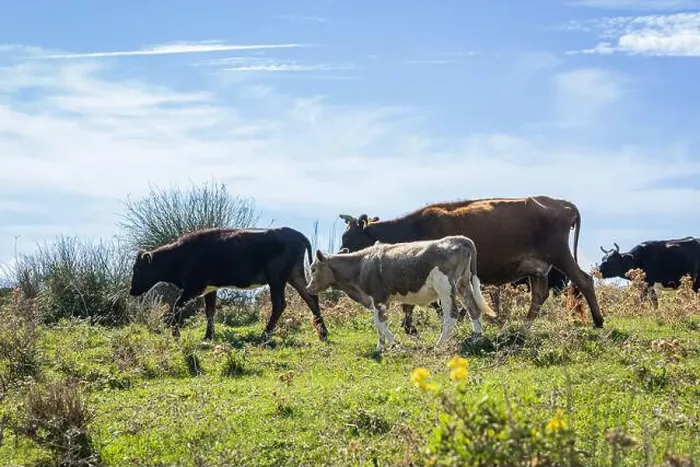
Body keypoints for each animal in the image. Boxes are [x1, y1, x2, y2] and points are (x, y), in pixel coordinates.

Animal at [128, 226, 329, 343]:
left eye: (137, 269)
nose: (131, 290)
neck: (181, 255)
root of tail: (296, 234)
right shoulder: (210, 288)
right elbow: (210, 311)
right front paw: (208, 336)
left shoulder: (194, 287)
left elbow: (177, 306)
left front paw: (176, 335)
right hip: (294, 275)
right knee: (311, 298)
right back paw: (323, 332)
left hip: (277, 279)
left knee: (280, 304)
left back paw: (264, 336)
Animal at [305, 235, 496, 353]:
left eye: (313, 269)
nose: (308, 288)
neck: (361, 266)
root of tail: (459, 239)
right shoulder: (378, 301)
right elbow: (378, 324)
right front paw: (380, 348)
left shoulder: (379, 297)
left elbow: (380, 323)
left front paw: (395, 344)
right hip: (464, 284)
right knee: (474, 310)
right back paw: (478, 339)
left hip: (446, 287)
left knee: (452, 316)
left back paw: (439, 344)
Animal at [337, 196, 604, 333]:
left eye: (347, 237)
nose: (340, 252)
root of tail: (562, 203)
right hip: (537, 268)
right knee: (539, 295)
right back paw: (524, 326)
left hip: (559, 255)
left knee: (584, 281)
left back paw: (598, 321)